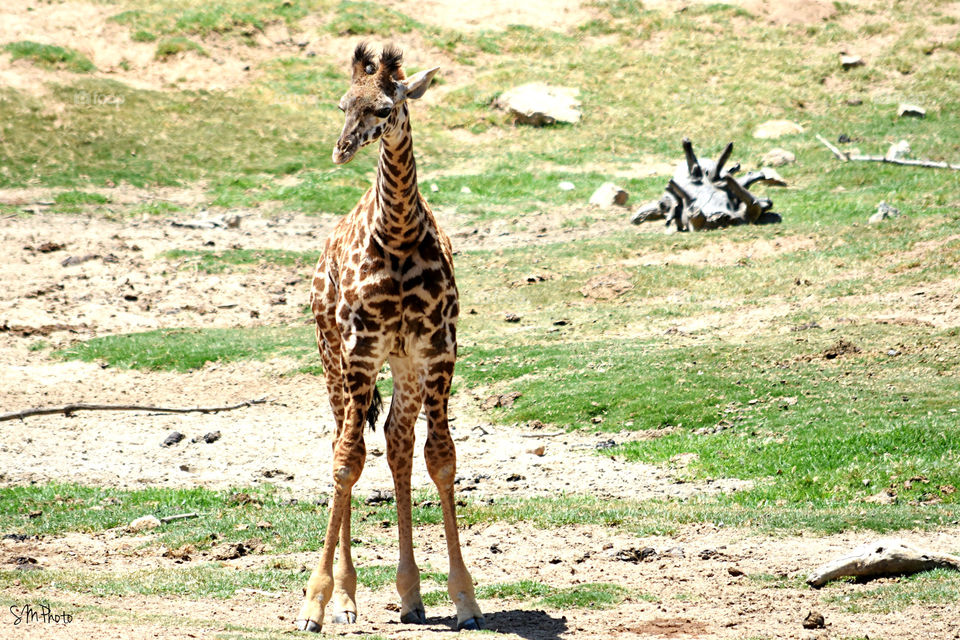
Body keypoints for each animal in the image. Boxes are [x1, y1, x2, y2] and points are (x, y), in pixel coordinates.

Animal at [295, 43, 485, 634]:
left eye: (384, 107)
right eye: (341, 104)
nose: (340, 150)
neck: (397, 234)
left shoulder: (437, 350)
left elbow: (440, 457)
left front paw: (465, 599)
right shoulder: (360, 351)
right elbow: (347, 460)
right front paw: (315, 603)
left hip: (401, 368)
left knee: (398, 443)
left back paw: (410, 595)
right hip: (331, 356)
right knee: (343, 442)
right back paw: (348, 601)